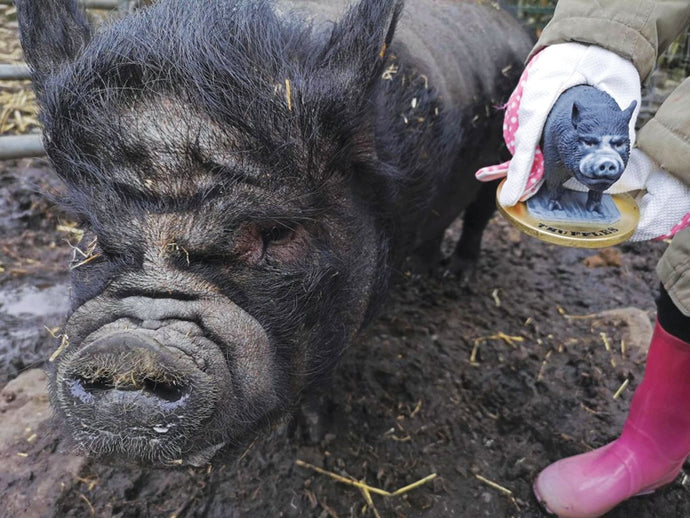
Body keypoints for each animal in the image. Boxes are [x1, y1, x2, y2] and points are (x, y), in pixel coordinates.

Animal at [15, 0, 531, 466]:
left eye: (276, 233)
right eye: (93, 235)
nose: (130, 351)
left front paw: (311, 437)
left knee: (480, 214)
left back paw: (455, 277)